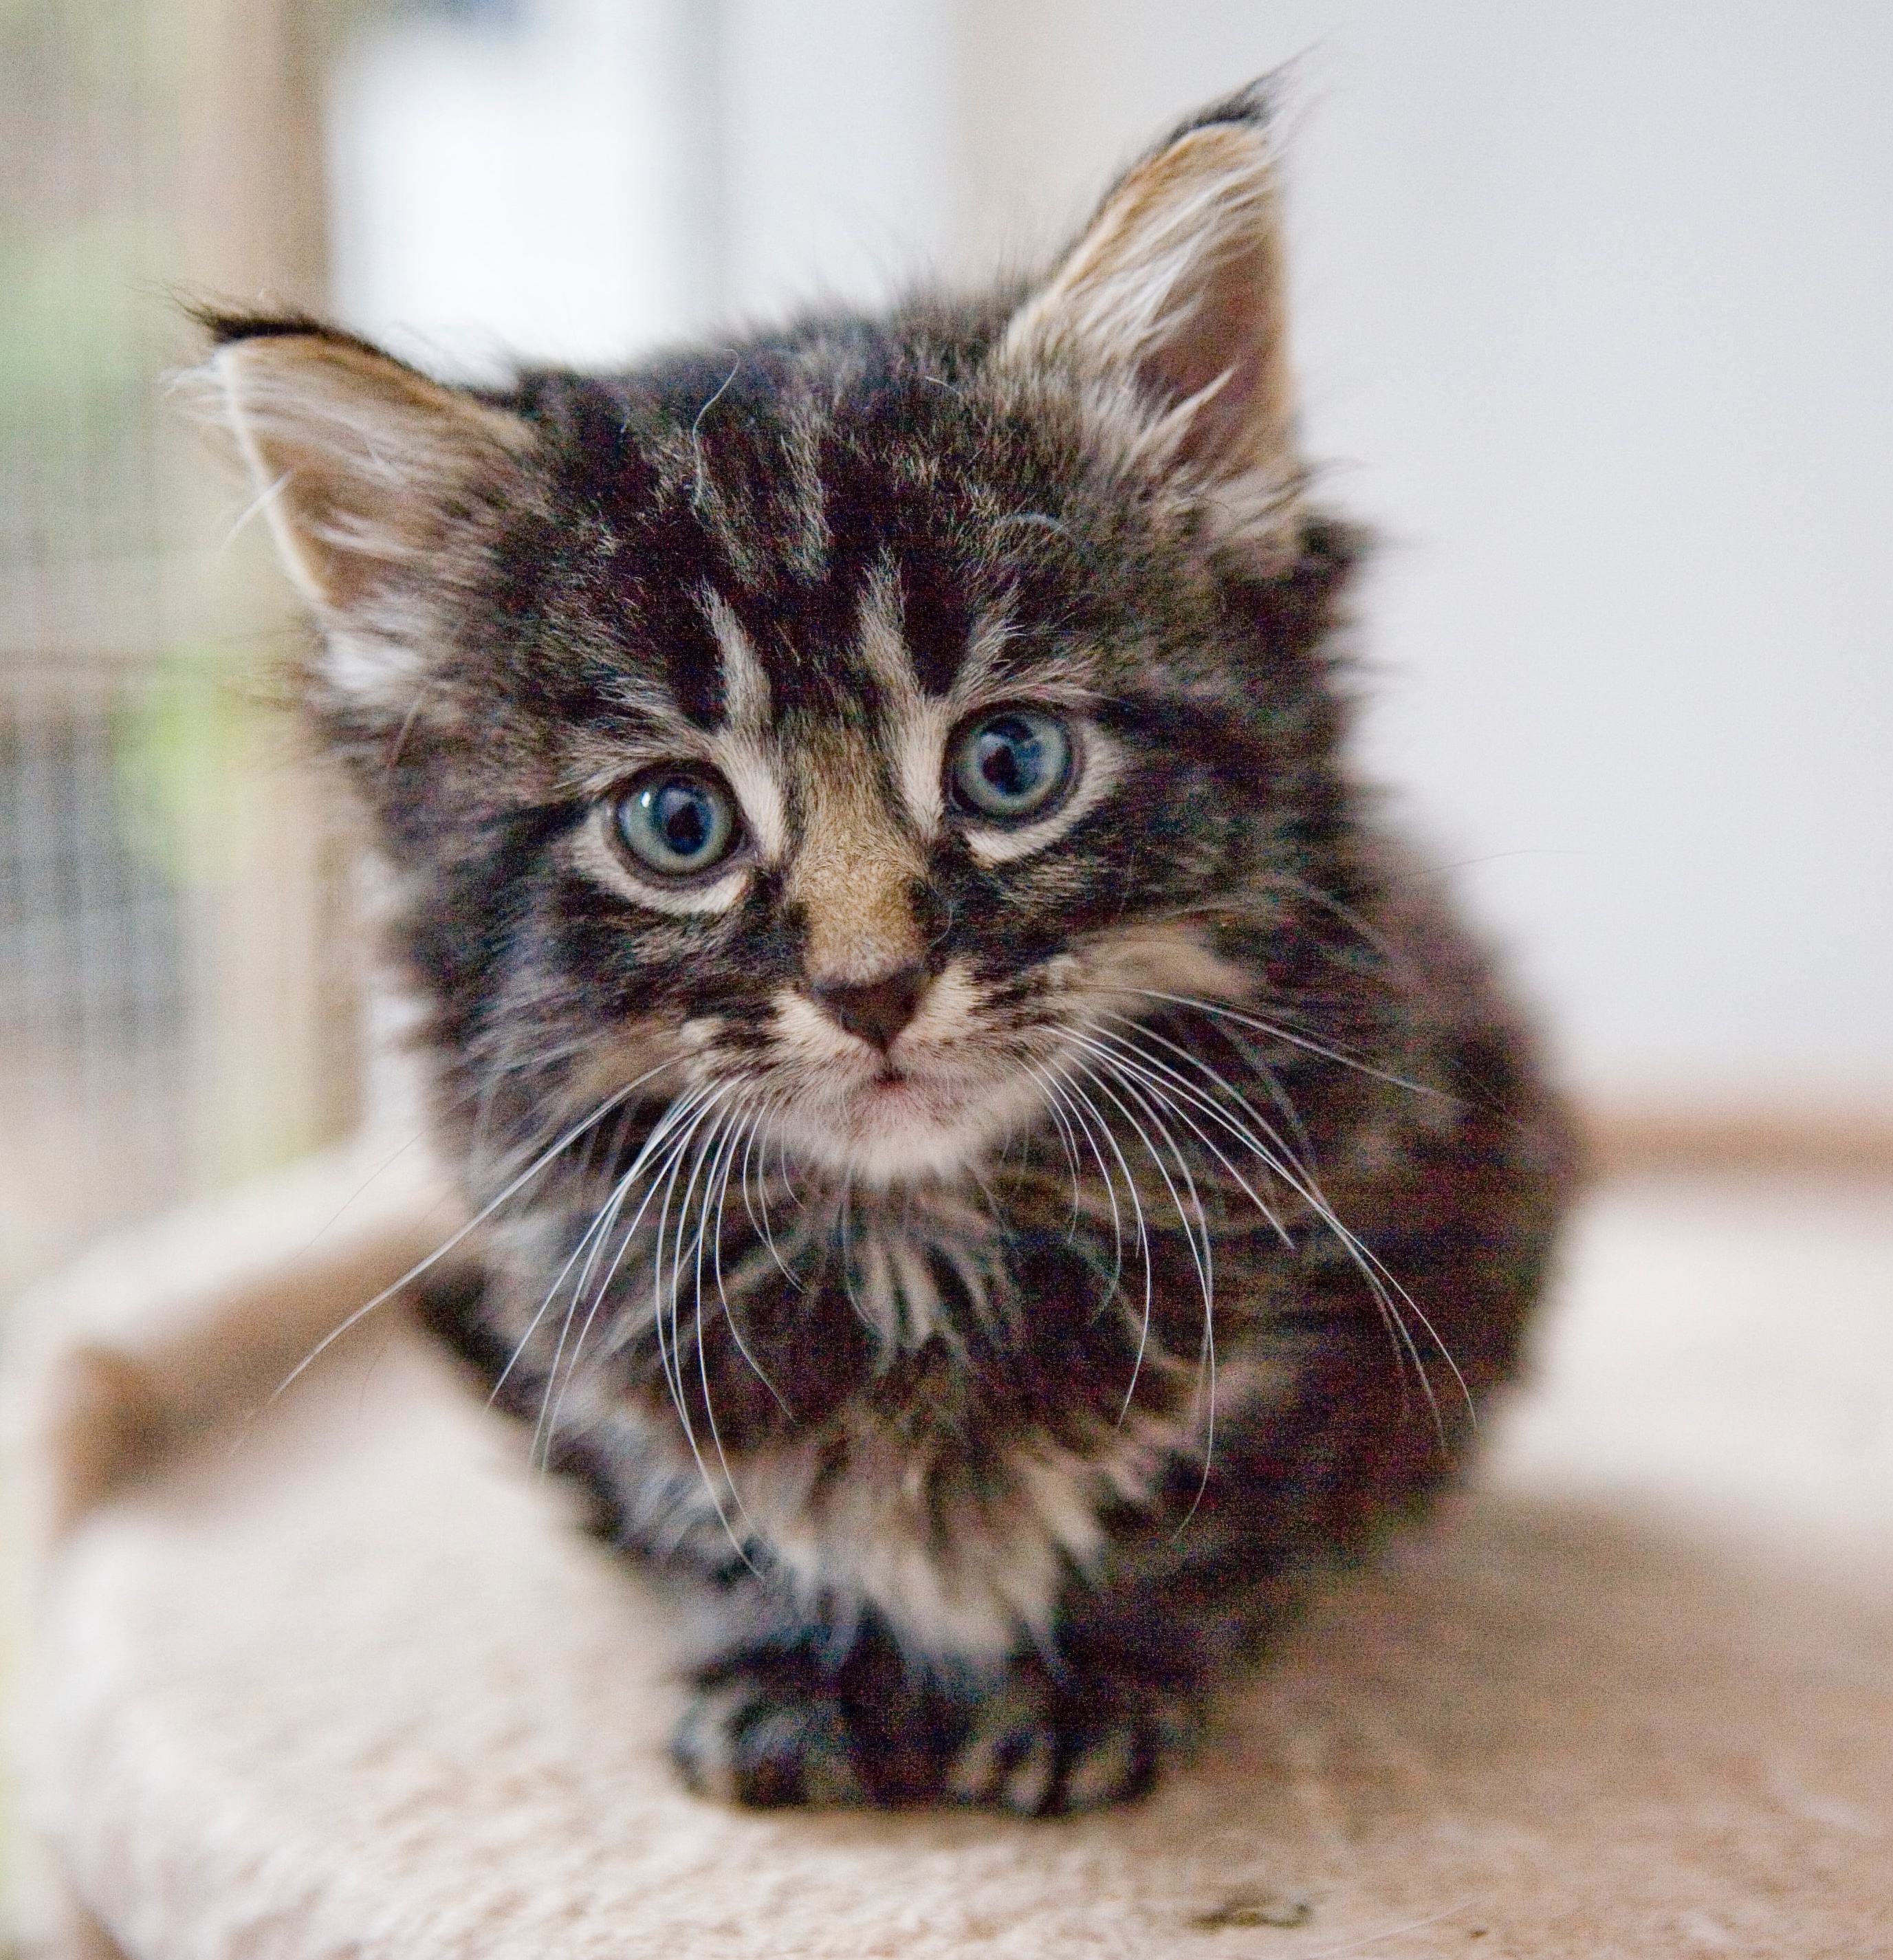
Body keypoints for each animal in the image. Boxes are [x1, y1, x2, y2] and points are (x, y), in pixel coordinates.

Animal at [208, 84, 1575, 1811]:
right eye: (676, 822)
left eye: (1009, 764)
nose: (871, 990)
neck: (916, 1245)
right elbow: (709, 1506)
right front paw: (799, 1670)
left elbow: (1218, 1494)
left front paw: (1092, 1673)